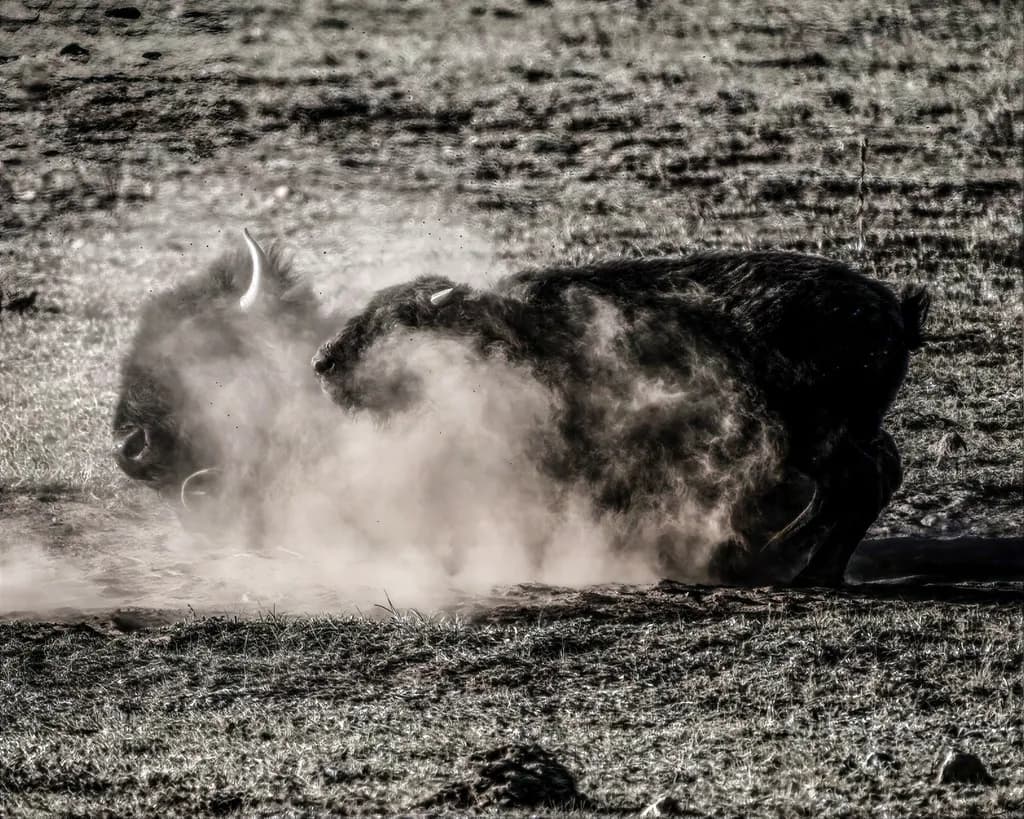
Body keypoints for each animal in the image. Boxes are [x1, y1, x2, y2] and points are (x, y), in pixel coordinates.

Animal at [311, 250, 930, 586]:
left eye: (394, 323)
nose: (323, 361)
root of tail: (894, 308)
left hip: (818, 437)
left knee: (858, 483)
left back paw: (773, 563)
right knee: (870, 479)